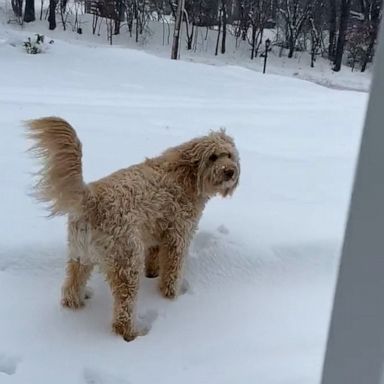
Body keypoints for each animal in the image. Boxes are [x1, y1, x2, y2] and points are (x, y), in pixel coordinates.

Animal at [26, 117, 240, 342]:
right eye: (213, 157)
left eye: (229, 155)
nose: (230, 171)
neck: (186, 175)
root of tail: (91, 198)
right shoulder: (178, 235)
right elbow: (172, 271)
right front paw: (171, 296)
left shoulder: (156, 232)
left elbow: (154, 257)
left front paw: (152, 273)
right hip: (126, 261)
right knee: (123, 311)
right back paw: (131, 334)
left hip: (79, 256)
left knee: (70, 288)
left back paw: (75, 305)